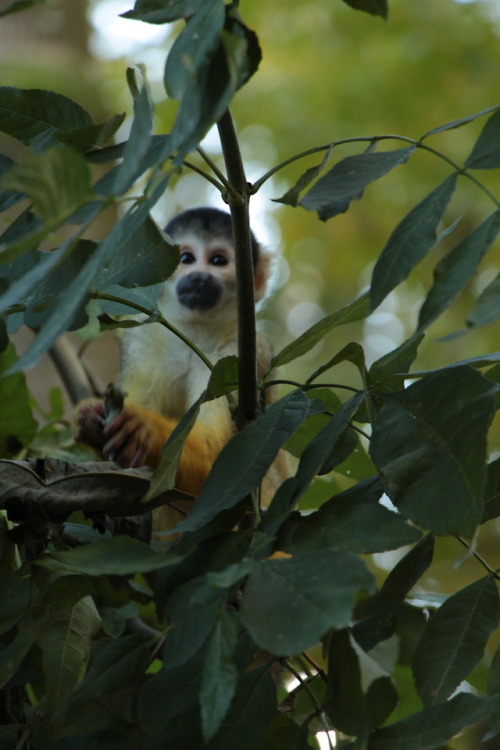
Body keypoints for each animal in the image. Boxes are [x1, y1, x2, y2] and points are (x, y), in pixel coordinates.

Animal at [74, 209, 286, 520]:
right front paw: (90, 420)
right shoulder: (144, 338)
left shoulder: (243, 354)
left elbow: (222, 459)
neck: (194, 333)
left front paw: (145, 431)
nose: (198, 278)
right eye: (186, 258)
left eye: (218, 261)